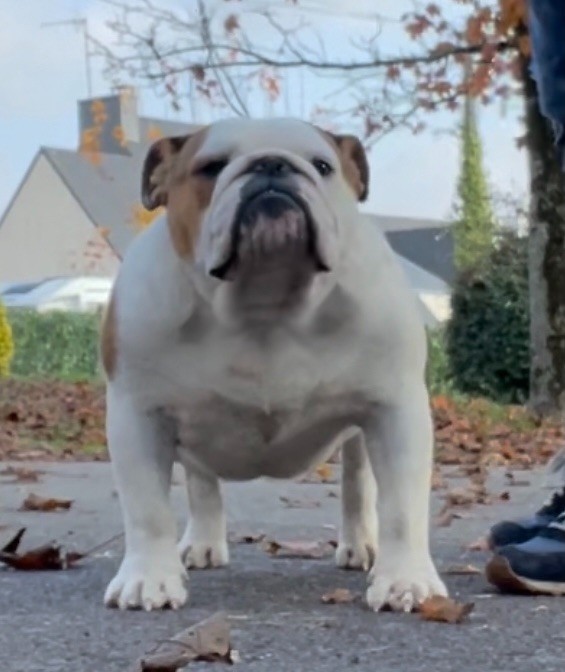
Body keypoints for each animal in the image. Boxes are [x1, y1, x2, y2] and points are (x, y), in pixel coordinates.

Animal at [101, 117, 447, 613]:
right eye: (211, 167)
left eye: (322, 166)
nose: (271, 165)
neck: (265, 300)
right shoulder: (138, 415)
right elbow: (147, 508)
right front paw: (149, 579)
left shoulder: (396, 410)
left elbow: (402, 504)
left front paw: (405, 581)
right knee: (201, 482)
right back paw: (203, 543)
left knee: (357, 484)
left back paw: (360, 545)